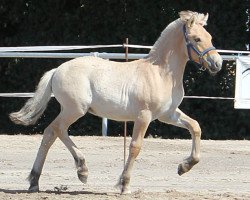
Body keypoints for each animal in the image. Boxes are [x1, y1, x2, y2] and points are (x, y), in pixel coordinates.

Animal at [9, 10, 223, 194]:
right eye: (197, 39)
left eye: (210, 37)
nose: (217, 64)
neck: (160, 73)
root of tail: (57, 70)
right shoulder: (144, 116)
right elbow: (135, 146)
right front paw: (124, 185)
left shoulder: (167, 114)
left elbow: (195, 127)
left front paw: (184, 166)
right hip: (75, 110)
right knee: (56, 130)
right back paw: (81, 170)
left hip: (70, 110)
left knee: (50, 133)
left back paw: (35, 182)